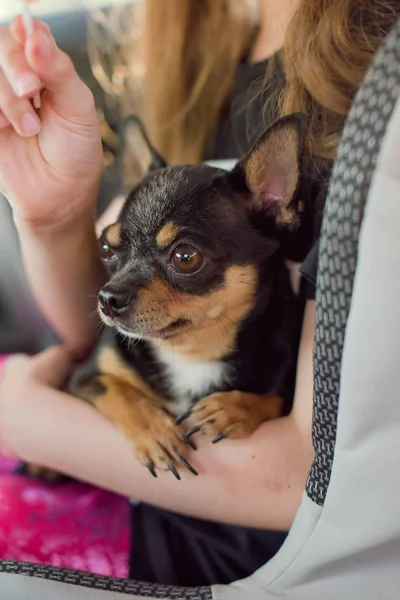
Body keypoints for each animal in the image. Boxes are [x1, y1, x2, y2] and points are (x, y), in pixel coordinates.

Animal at [69, 111, 306, 478]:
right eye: (107, 249)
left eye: (185, 257)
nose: (108, 299)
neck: (193, 353)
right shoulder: (86, 377)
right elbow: (120, 392)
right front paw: (155, 432)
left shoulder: (285, 376)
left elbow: (273, 397)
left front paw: (233, 408)